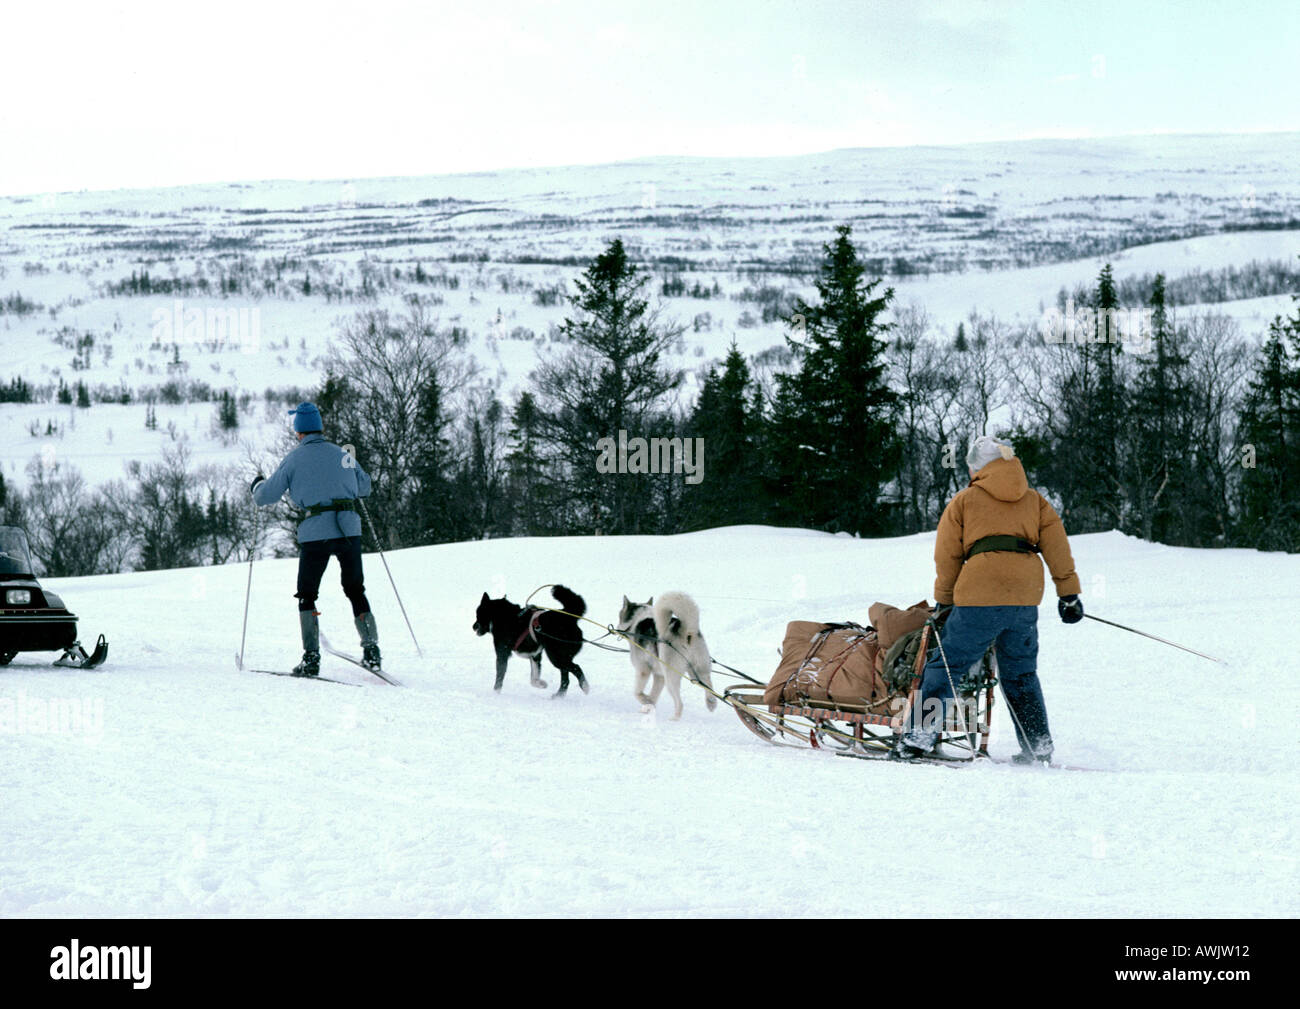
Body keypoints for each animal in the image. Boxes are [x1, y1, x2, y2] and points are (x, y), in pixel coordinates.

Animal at [613, 587, 717, 722]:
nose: (616, 627)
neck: (638, 619)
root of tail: (686, 630)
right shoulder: (659, 676)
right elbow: (653, 696)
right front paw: (647, 706)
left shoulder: (643, 670)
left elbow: (637, 692)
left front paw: (645, 700)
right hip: (697, 672)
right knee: (709, 687)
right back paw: (711, 703)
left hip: (671, 677)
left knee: (679, 702)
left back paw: (675, 718)